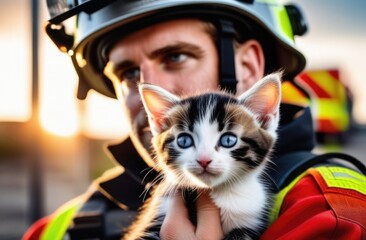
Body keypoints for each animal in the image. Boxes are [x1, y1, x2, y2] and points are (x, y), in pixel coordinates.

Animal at [124, 73, 282, 240]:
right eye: (184, 141)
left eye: (228, 140)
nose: (204, 160)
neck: (220, 194)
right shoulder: (160, 210)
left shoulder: (250, 219)